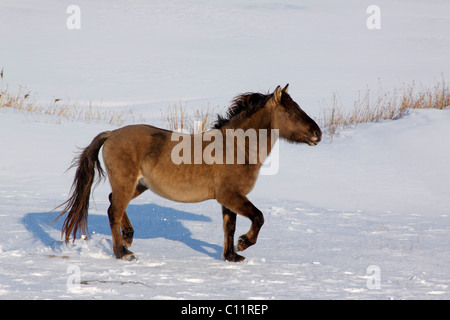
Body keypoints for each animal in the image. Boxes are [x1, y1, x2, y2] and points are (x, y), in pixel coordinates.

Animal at [56, 84, 322, 262]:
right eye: (291, 112)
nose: (317, 133)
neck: (237, 147)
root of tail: (111, 134)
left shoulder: (228, 200)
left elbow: (229, 227)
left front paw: (231, 256)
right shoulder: (232, 196)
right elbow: (258, 217)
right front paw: (244, 244)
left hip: (138, 185)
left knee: (115, 204)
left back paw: (128, 237)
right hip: (126, 183)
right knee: (113, 211)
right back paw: (122, 252)